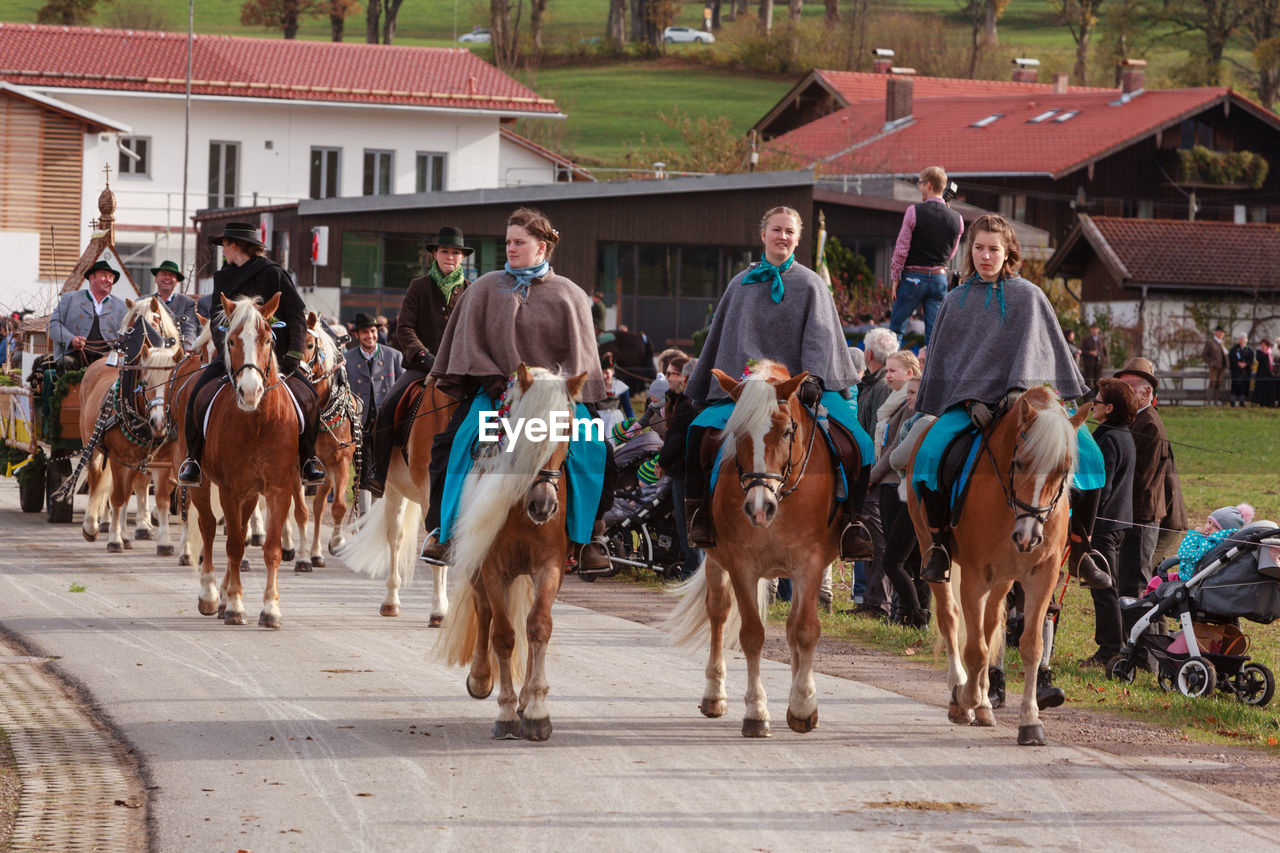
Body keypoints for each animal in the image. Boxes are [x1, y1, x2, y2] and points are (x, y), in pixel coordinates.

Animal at [77, 295, 185, 555]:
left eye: (172, 382)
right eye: (144, 383)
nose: (159, 422)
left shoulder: (162, 460)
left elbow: (161, 499)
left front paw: (164, 542)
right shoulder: (119, 459)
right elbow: (117, 497)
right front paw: (114, 539)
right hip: (93, 445)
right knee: (97, 479)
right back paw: (93, 525)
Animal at [186, 292, 299, 625]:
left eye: (267, 339)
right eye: (232, 341)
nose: (250, 391)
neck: (258, 421)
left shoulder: (278, 489)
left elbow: (271, 547)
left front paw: (270, 609)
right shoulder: (228, 488)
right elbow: (234, 544)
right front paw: (235, 604)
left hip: (250, 493)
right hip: (202, 483)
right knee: (209, 527)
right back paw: (211, 595)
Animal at [435, 363, 586, 737]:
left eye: (568, 428)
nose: (543, 506)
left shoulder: (549, 567)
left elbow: (539, 627)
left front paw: (535, 709)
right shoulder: (493, 569)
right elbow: (503, 635)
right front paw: (504, 712)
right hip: (478, 570)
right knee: (485, 611)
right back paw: (480, 678)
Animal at [660, 358, 839, 737]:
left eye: (787, 431)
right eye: (736, 432)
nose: (759, 507)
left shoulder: (810, 564)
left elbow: (805, 630)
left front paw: (803, 704)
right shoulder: (742, 566)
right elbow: (753, 634)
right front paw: (757, 712)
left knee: (793, 627)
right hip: (717, 563)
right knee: (718, 612)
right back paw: (714, 695)